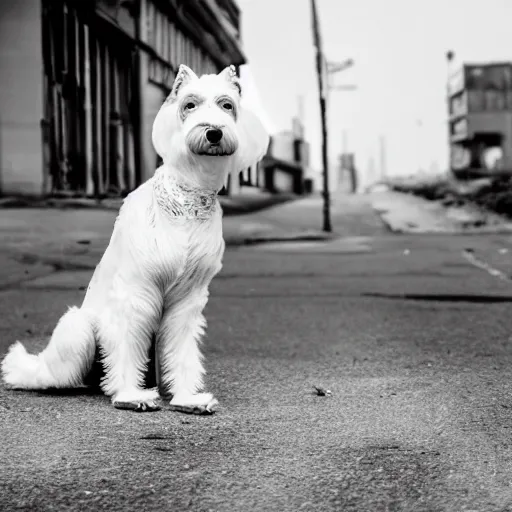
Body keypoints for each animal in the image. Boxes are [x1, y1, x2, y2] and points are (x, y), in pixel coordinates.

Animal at [2, 65, 270, 416]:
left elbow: (182, 351)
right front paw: (131, 395)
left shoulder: (187, 301)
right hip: (79, 330)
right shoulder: (135, 291)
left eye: (227, 105)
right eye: (190, 104)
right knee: (50, 376)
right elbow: (128, 344)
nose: (213, 132)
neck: (188, 195)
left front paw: (188, 398)